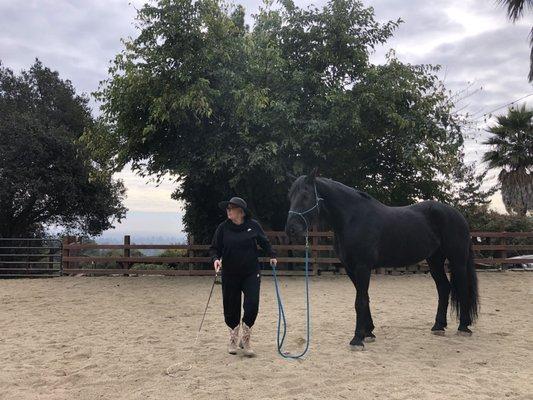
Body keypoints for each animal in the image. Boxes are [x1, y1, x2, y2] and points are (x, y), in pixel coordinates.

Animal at [284, 169, 480, 350]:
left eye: (305, 195)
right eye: (290, 196)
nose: (291, 229)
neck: (352, 219)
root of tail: (457, 214)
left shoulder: (362, 267)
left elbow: (360, 301)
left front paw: (357, 339)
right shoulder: (350, 268)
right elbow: (365, 298)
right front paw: (369, 332)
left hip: (457, 261)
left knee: (462, 288)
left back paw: (463, 327)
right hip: (435, 261)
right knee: (443, 288)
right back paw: (438, 326)